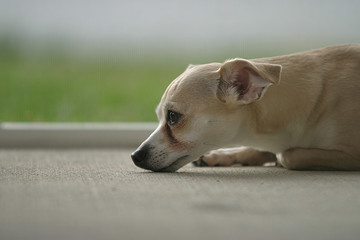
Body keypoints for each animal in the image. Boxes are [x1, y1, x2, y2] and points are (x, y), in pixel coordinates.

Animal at [131, 44, 360, 172]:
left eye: (173, 117)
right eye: (160, 116)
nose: (134, 155)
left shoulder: (351, 154)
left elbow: (288, 155)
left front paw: (276, 159)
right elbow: (265, 150)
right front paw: (223, 155)